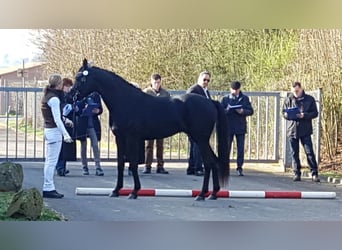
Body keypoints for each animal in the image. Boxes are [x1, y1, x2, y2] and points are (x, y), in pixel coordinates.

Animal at [74, 59, 230, 200]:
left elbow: (133, 163)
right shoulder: (120, 138)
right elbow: (120, 164)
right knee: (212, 162)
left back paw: (203, 194)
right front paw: (116, 190)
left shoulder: (132, 138)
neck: (124, 101)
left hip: (201, 139)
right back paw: (212, 194)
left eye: (81, 78)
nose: (72, 95)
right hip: (199, 139)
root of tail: (210, 102)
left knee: (210, 163)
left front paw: (134, 192)